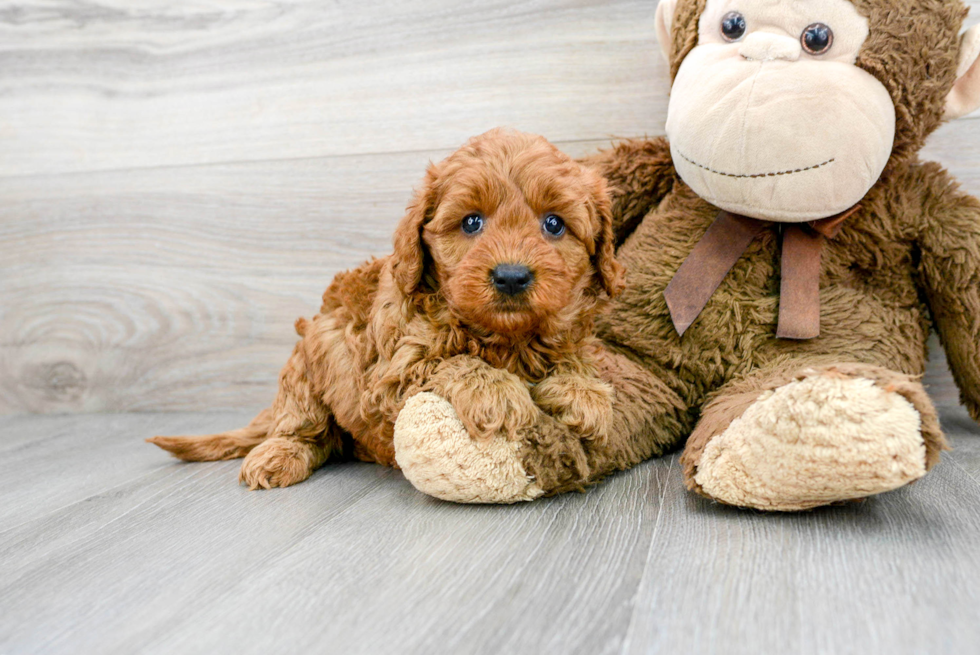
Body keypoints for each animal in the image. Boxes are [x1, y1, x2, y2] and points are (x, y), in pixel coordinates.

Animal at [147, 128, 620, 490]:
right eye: (471, 222)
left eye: (554, 224)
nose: (511, 276)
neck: (502, 336)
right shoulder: (392, 374)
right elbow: (452, 361)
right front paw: (496, 391)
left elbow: (574, 356)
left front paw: (584, 392)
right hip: (310, 358)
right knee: (303, 427)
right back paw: (278, 455)